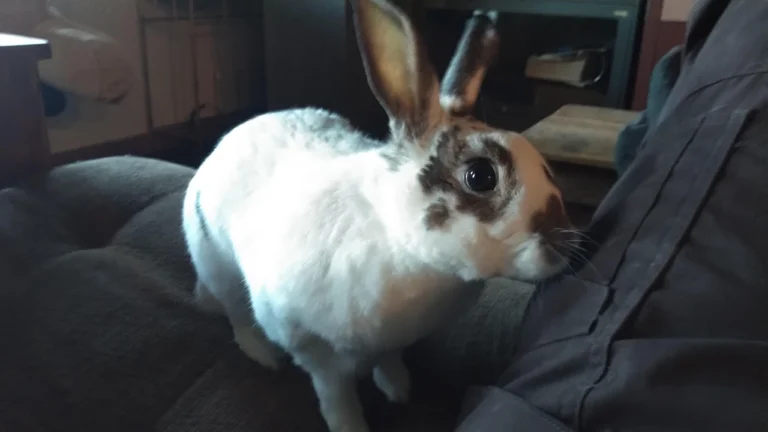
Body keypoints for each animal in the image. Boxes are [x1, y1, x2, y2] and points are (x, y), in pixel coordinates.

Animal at [181, 1, 576, 431]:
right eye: (481, 176)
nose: (565, 246)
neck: (402, 245)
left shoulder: (393, 342)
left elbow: (389, 361)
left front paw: (398, 389)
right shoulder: (313, 349)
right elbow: (334, 394)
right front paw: (350, 425)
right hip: (217, 264)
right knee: (236, 314)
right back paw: (263, 355)